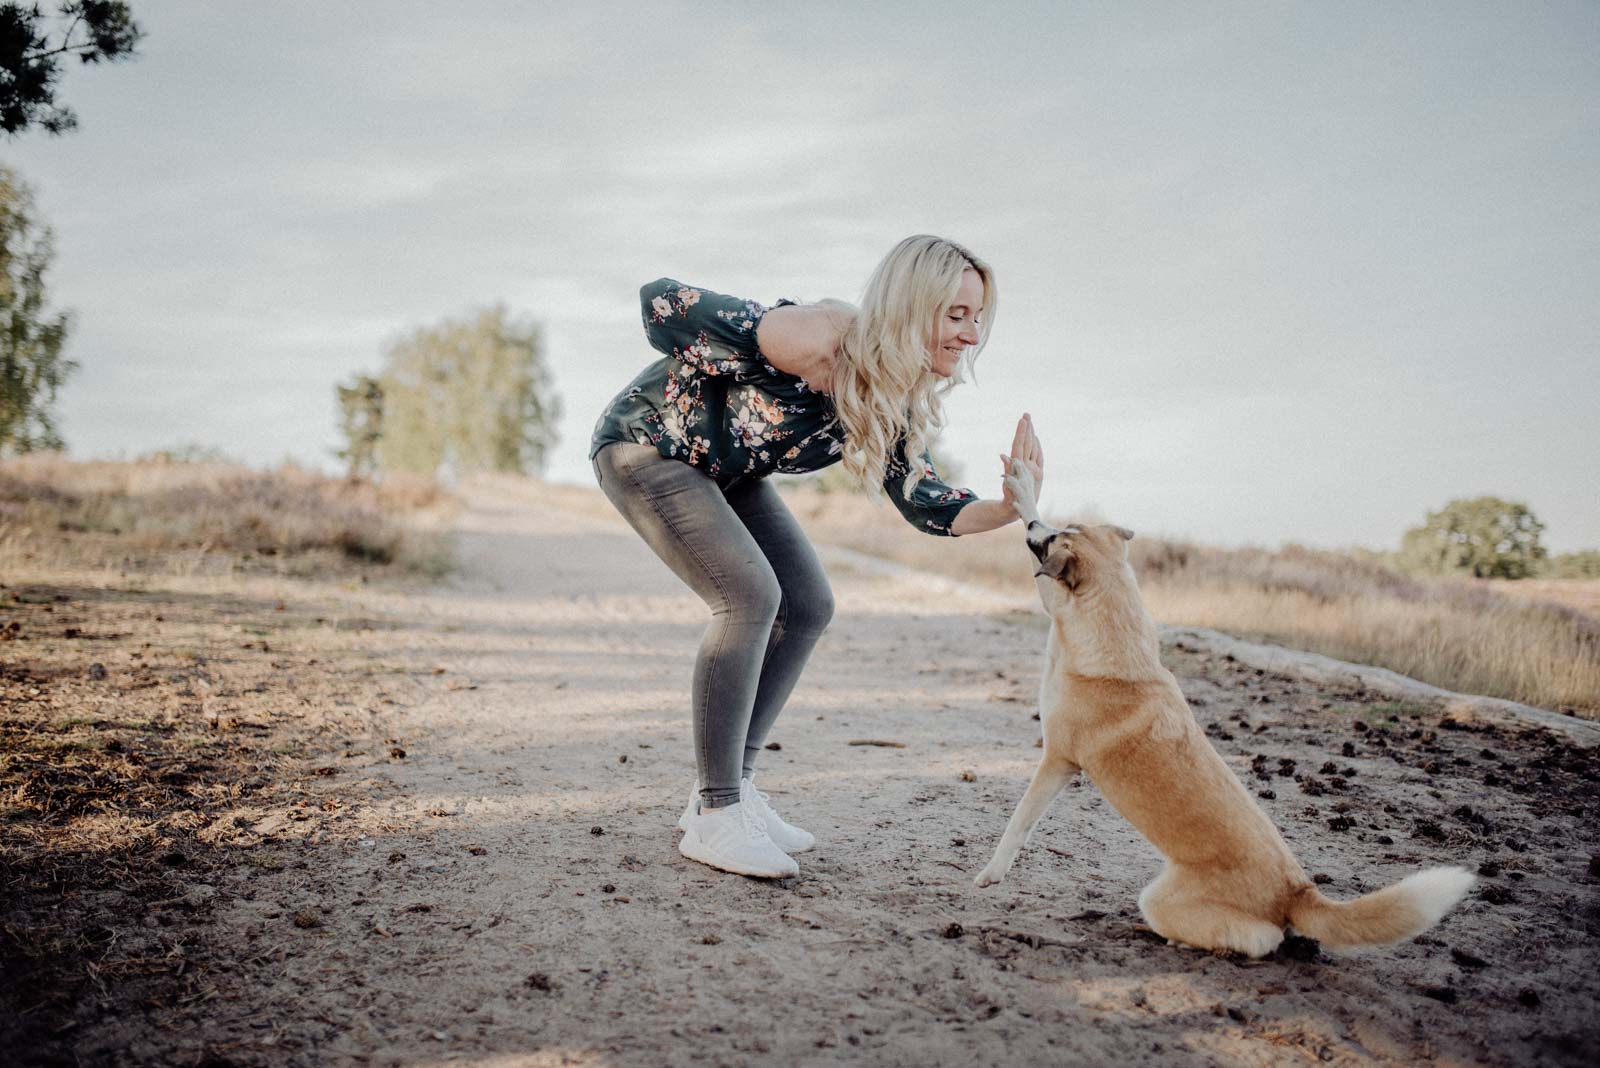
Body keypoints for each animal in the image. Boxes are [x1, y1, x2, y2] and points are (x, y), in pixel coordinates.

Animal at [972, 460, 1472, 959]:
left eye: (1058, 536)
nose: (1036, 529)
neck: (1116, 639)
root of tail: (1297, 892)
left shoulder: (1057, 759)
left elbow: (1018, 823)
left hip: (1161, 899)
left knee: (1261, 939)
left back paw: (1176, 938)